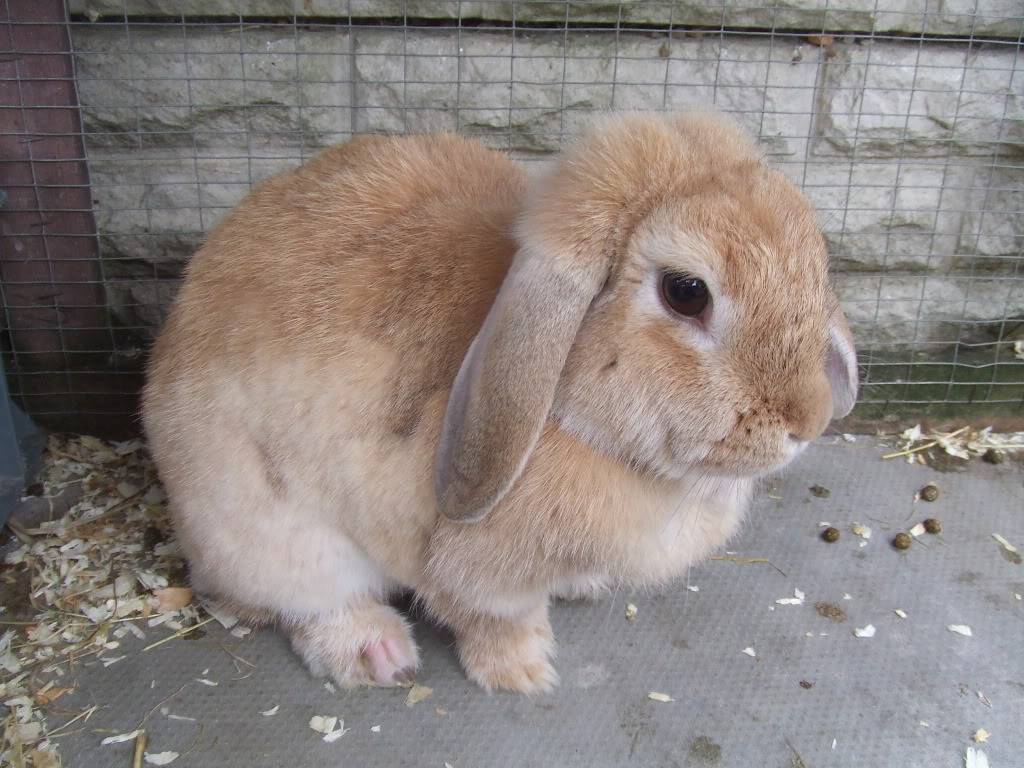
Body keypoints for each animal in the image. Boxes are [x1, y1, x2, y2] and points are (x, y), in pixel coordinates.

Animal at [142, 111, 856, 696]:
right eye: (686, 292)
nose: (809, 420)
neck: (569, 416)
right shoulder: (465, 572)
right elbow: (490, 618)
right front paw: (526, 671)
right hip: (268, 534)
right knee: (297, 603)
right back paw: (376, 652)